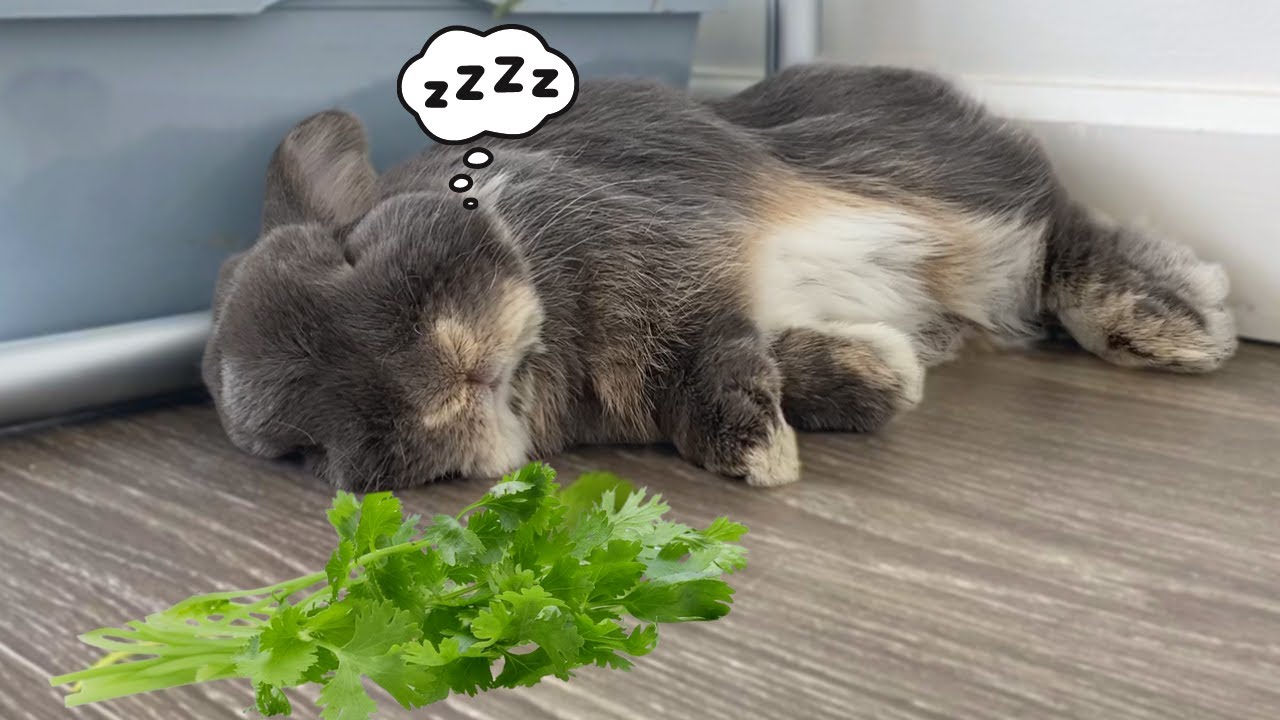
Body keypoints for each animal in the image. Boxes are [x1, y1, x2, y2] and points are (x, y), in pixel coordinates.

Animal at [202, 64, 1237, 491]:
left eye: (350, 252)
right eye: (299, 448)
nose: (435, 388)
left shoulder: (667, 264)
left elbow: (701, 357)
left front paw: (759, 455)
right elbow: (774, 360)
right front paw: (882, 379)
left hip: (952, 197)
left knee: (1058, 232)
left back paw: (1175, 323)